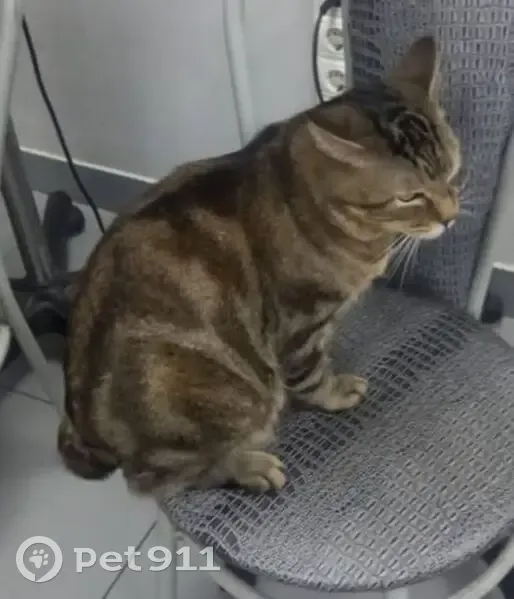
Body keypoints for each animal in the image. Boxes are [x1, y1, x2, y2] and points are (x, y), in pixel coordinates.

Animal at [58, 36, 460, 497]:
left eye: (451, 170)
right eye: (408, 197)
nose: (451, 216)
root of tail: (80, 420)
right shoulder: (300, 321)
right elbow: (310, 374)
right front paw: (334, 391)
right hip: (214, 399)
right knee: (157, 478)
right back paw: (248, 466)